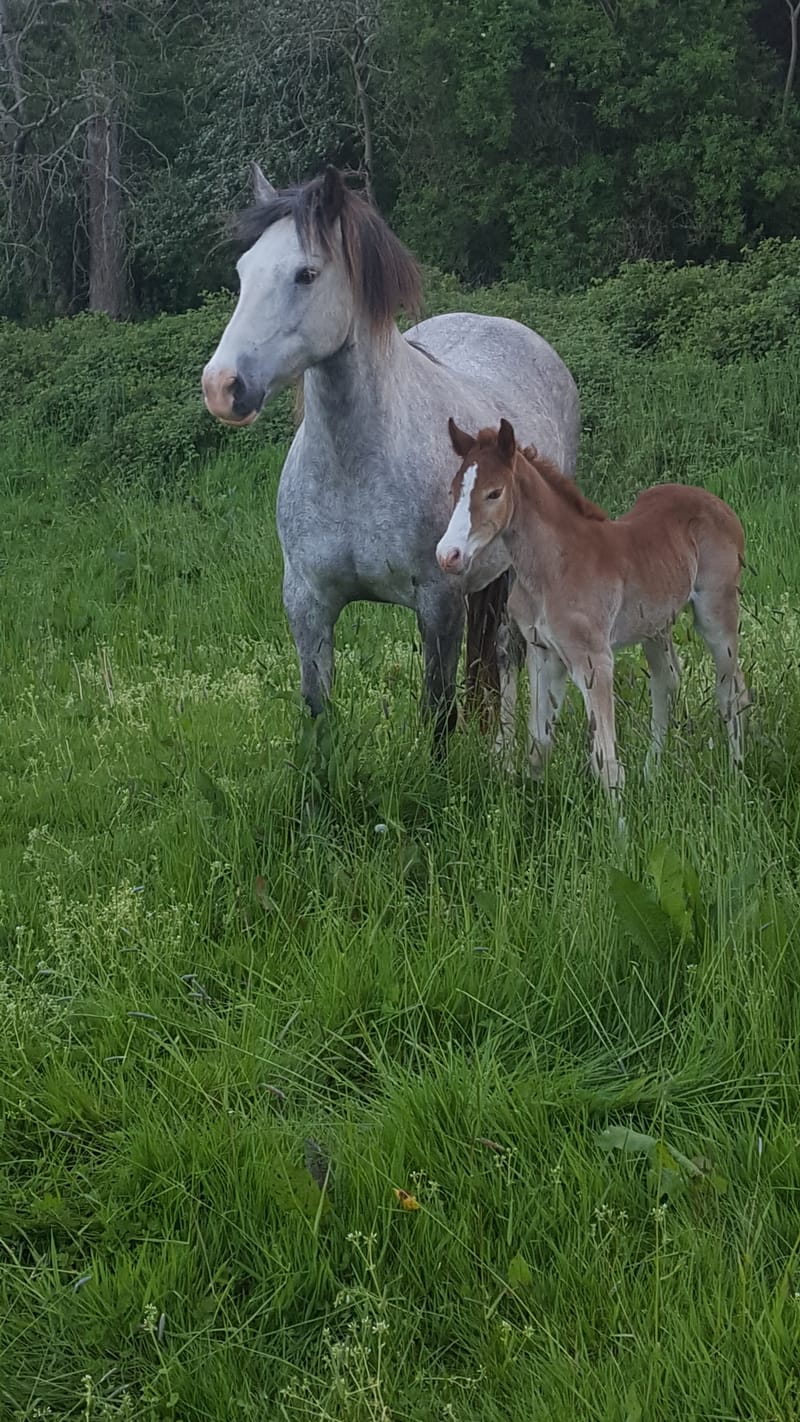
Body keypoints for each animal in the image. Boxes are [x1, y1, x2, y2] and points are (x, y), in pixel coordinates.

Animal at [201, 165, 580, 743]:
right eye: (243, 272)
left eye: (306, 274)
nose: (222, 386)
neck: (355, 469)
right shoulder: (307, 604)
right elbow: (318, 713)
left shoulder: (439, 602)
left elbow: (440, 713)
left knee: (510, 655)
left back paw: (508, 748)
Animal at [437, 418, 750, 792]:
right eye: (453, 490)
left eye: (494, 493)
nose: (448, 555)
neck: (552, 568)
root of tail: (719, 505)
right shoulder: (543, 653)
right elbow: (539, 744)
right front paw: (534, 798)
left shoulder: (595, 660)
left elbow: (606, 761)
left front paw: (617, 808)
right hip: (656, 624)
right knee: (667, 680)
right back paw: (652, 773)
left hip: (716, 612)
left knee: (731, 690)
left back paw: (737, 774)